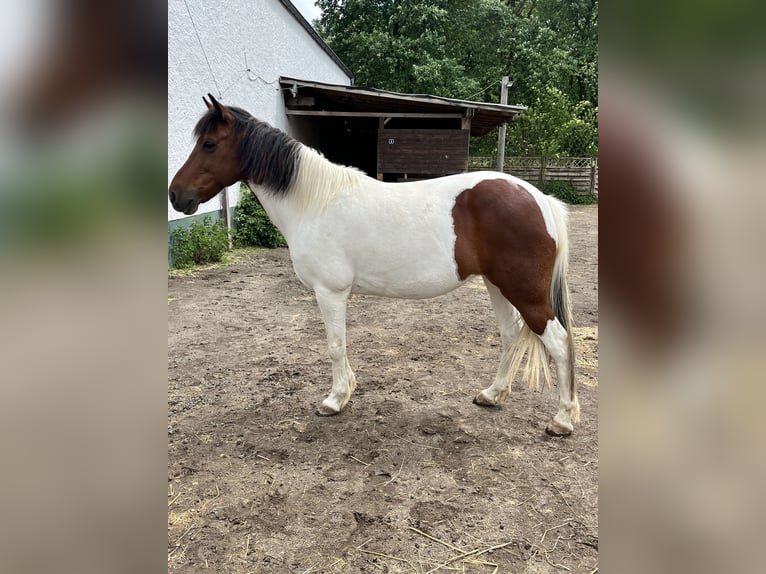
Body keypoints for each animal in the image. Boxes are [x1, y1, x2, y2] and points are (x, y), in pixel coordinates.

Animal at [169, 95, 580, 436]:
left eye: (209, 144)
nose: (176, 196)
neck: (314, 202)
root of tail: (539, 198)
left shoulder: (330, 292)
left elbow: (335, 345)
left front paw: (335, 400)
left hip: (524, 292)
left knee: (558, 341)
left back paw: (562, 420)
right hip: (498, 286)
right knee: (511, 335)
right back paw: (493, 395)